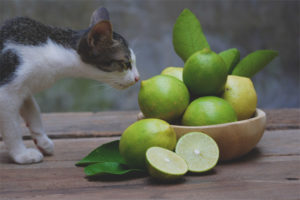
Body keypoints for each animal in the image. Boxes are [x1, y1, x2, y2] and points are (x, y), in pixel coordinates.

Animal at [0, 7, 140, 164]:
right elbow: (12, 128)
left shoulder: (25, 88)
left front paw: (42, 141)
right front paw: (21, 154)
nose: (137, 78)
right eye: (126, 64)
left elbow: (33, 110)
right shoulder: (6, 94)